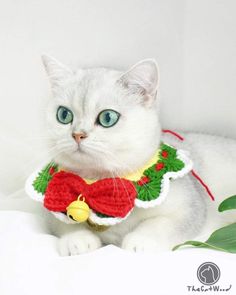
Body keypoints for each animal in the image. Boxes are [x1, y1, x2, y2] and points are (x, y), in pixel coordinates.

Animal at [41, 55, 236, 256]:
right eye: (64, 115)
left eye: (107, 118)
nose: (77, 134)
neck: (100, 183)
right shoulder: (50, 211)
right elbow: (64, 223)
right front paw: (77, 239)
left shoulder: (191, 208)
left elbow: (159, 224)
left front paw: (139, 241)